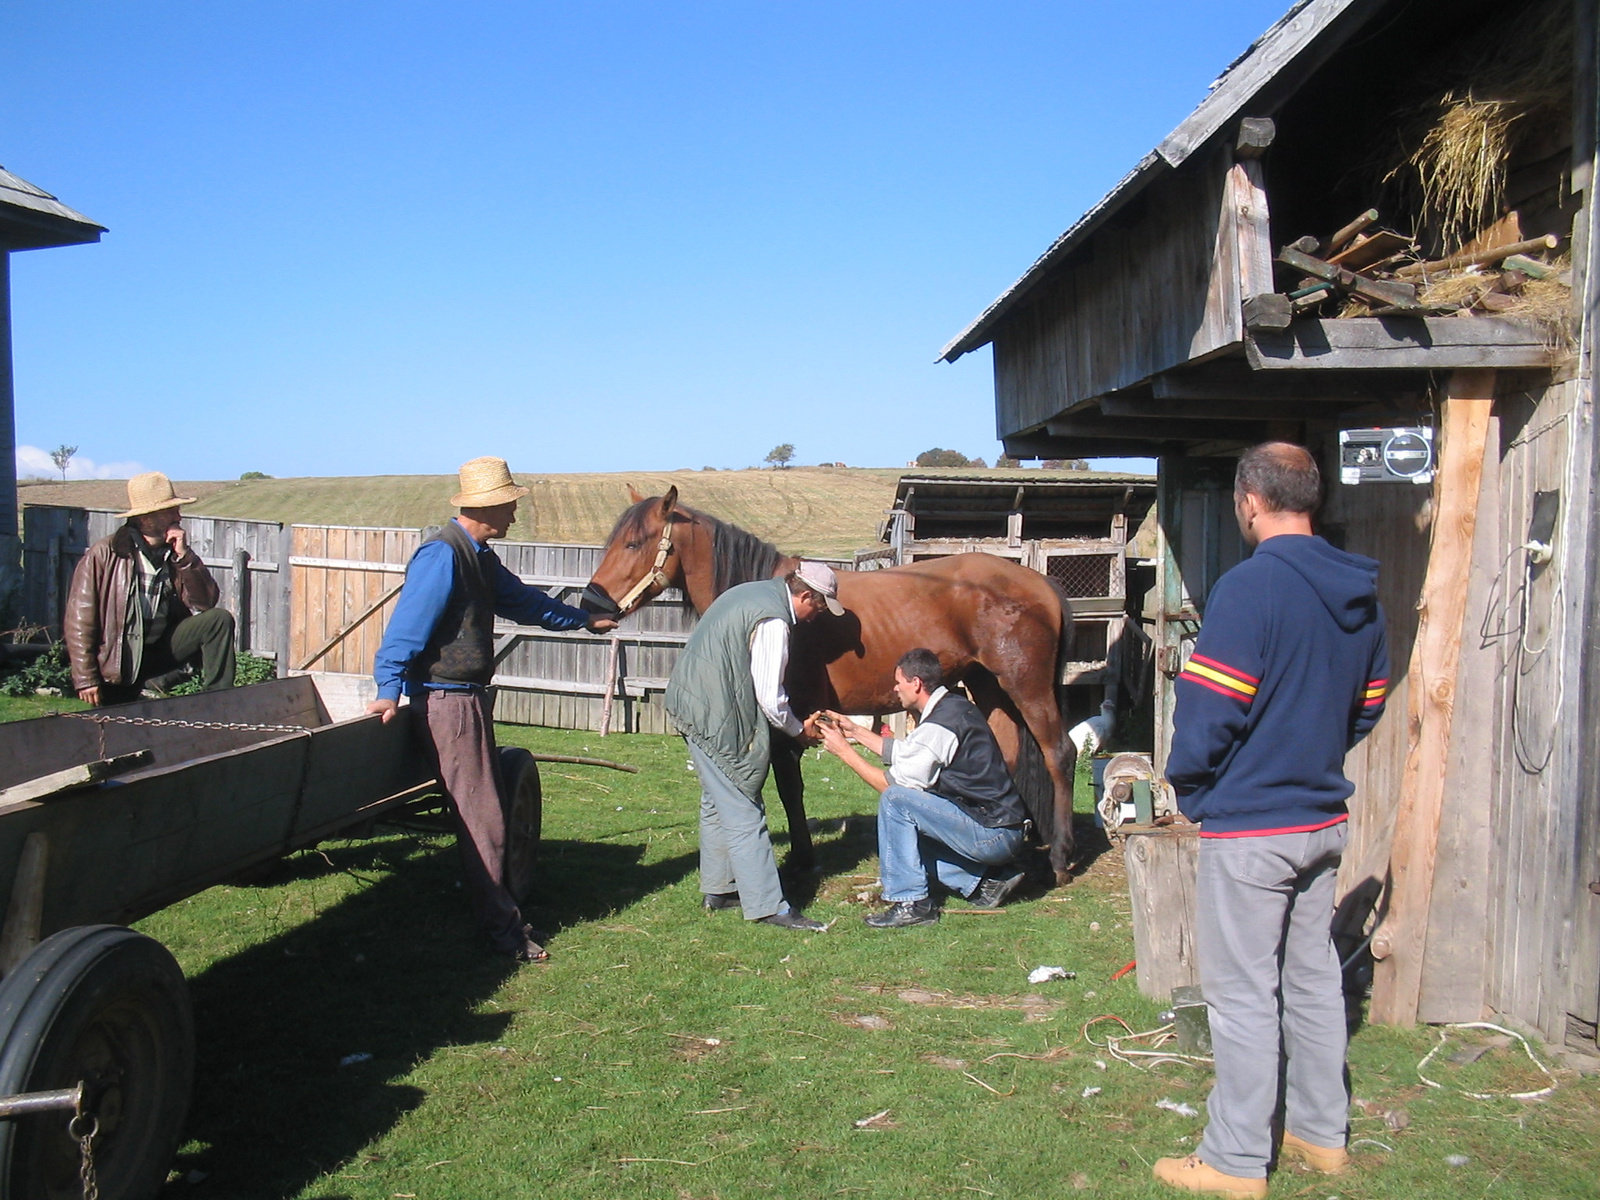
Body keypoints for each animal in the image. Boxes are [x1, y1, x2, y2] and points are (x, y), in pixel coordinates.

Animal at [582, 486, 1081, 883]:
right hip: (991, 687)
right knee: (1009, 753)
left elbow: (789, 788)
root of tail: (1040, 583)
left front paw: (802, 858)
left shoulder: (786, 720)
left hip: (1026, 687)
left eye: (633, 542)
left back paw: (1059, 857)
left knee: (1059, 754)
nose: (590, 606)